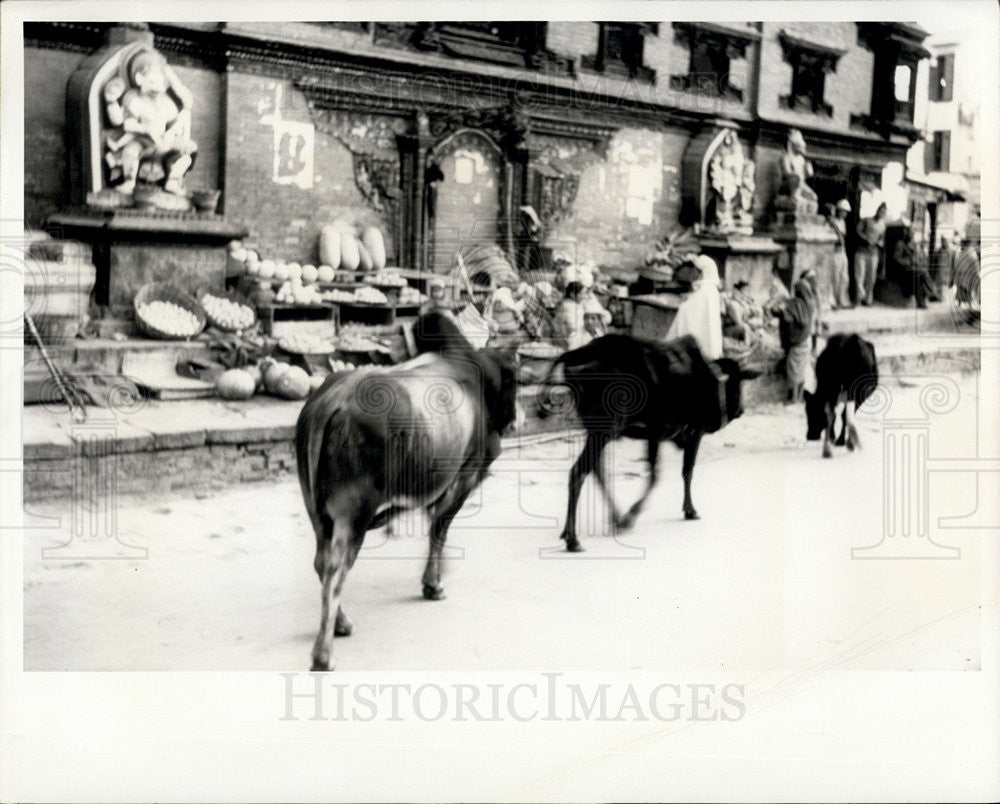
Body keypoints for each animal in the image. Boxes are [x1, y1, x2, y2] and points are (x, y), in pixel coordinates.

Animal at [294, 314, 516, 672]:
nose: (514, 421)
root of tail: (330, 402)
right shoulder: (464, 477)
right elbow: (439, 529)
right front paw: (433, 584)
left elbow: (434, 528)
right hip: (353, 514)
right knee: (335, 567)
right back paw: (323, 654)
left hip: (317, 511)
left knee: (321, 563)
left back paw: (341, 624)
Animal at [544, 334, 752, 552]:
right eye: (736, 384)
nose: (741, 410)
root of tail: (574, 355)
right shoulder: (685, 432)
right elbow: (674, 473)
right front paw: (688, 511)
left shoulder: (662, 435)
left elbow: (666, 473)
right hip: (604, 431)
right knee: (578, 472)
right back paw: (574, 538)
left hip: (599, 433)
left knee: (596, 471)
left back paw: (608, 519)